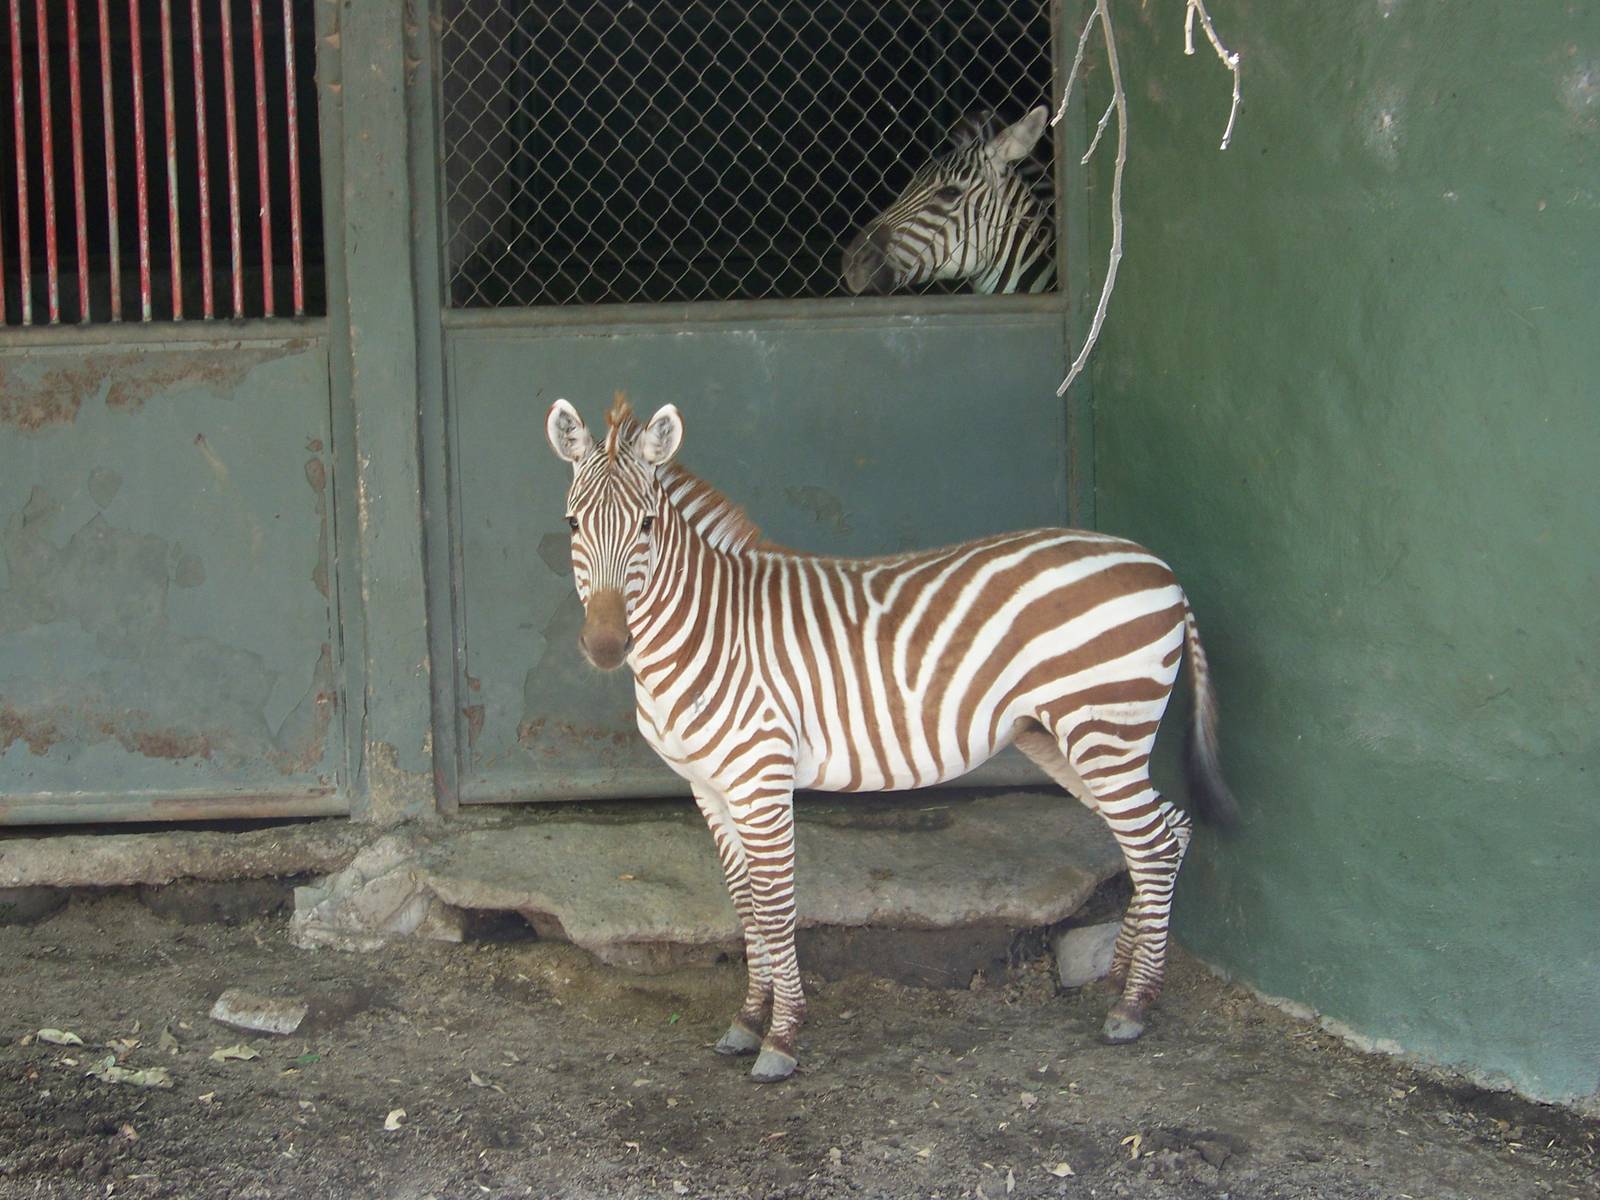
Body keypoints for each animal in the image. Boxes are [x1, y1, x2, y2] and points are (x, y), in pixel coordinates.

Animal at [544, 395, 1235, 1083]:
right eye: (574, 525)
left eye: (647, 526)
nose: (606, 646)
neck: (706, 632)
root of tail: (1160, 568)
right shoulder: (708, 786)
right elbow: (744, 902)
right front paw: (747, 1020)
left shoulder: (761, 777)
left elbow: (773, 903)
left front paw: (782, 1038)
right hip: (1065, 739)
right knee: (1167, 832)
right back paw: (1121, 976)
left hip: (1103, 730)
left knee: (1153, 847)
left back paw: (1135, 1006)